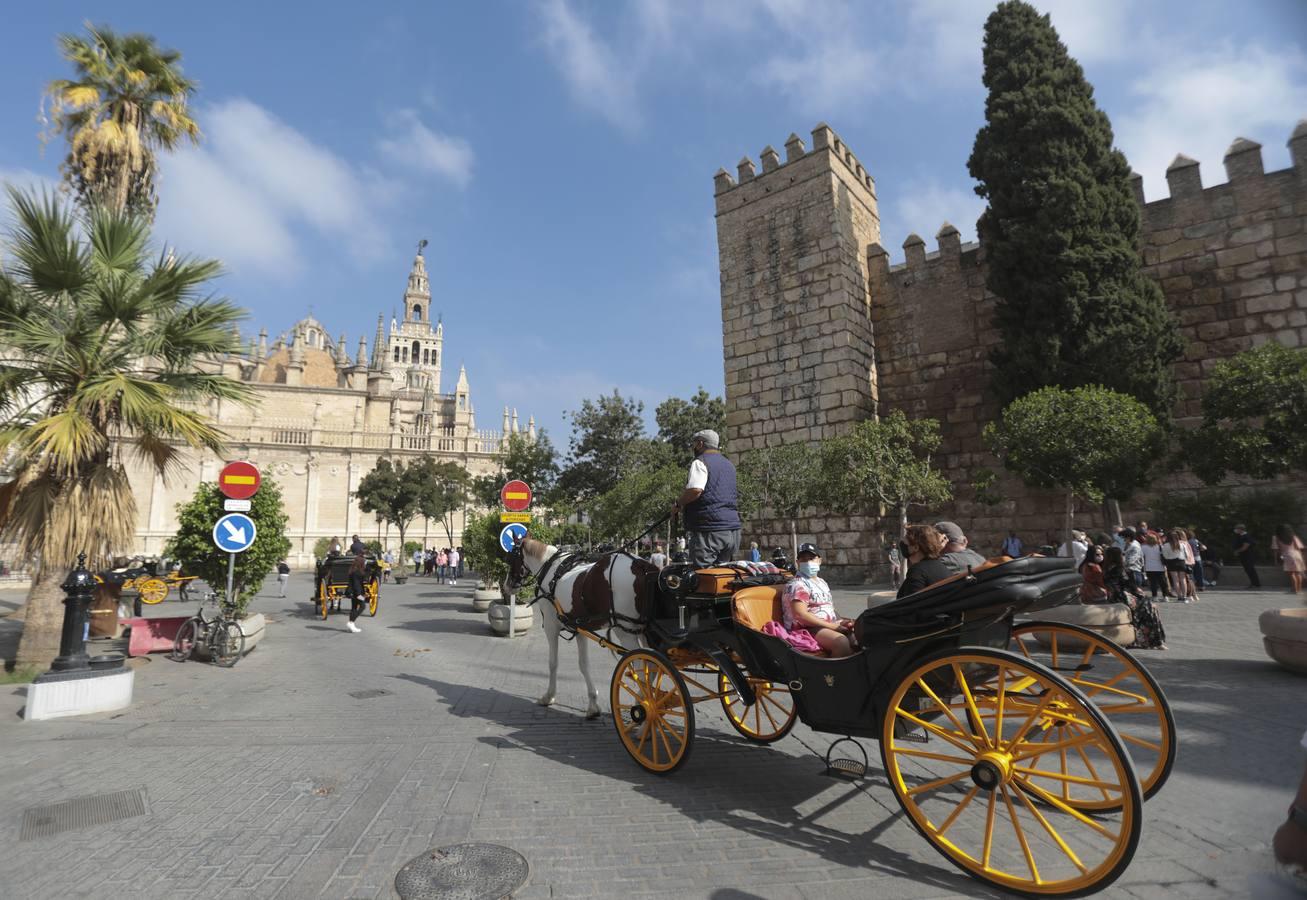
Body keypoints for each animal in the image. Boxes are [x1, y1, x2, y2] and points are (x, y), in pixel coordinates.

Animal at [504, 538, 658, 721]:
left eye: (511, 558)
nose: (506, 586)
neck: (550, 568)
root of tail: (641, 565)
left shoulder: (550, 626)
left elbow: (553, 663)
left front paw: (549, 696)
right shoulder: (580, 628)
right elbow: (584, 664)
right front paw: (593, 705)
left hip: (626, 632)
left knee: (642, 668)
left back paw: (644, 708)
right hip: (645, 631)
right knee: (653, 666)